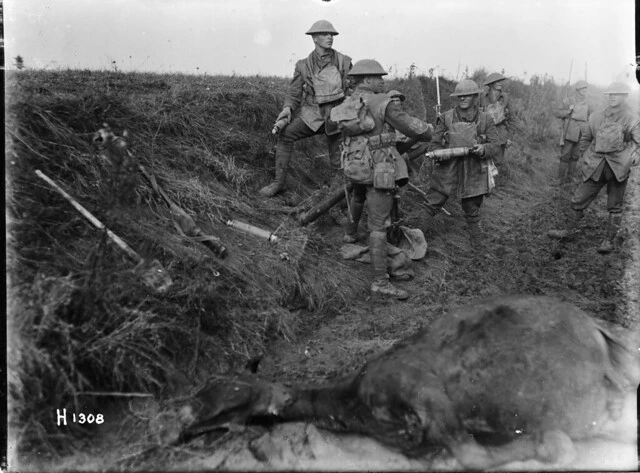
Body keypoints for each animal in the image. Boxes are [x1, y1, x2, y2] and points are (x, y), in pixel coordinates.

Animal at [175, 296, 636, 468]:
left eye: (229, 395)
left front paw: (546, 443)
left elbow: (474, 455)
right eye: (205, 388)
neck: (353, 405)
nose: (181, 419)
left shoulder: (420, 390)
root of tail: (596, 329)